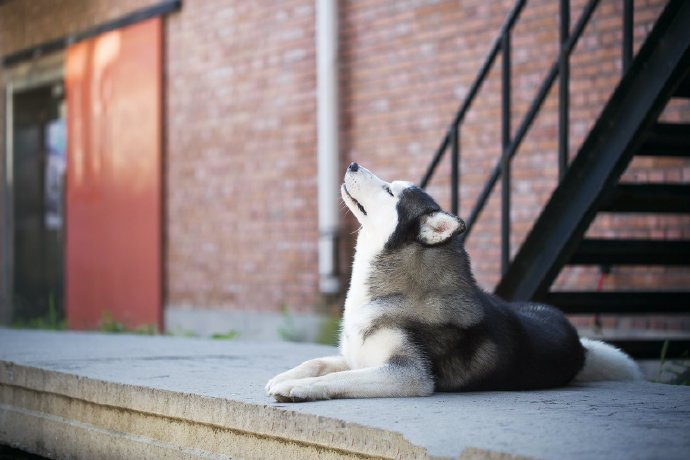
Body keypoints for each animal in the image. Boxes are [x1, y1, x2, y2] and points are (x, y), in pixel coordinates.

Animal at [266, 164, 644, 400]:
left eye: (390, 193)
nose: (354, 164)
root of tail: (578, 341)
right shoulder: (359, 356)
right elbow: (317, 362)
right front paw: (285, 376)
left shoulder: (408, 375)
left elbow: (338, 377)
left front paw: (301, 388)